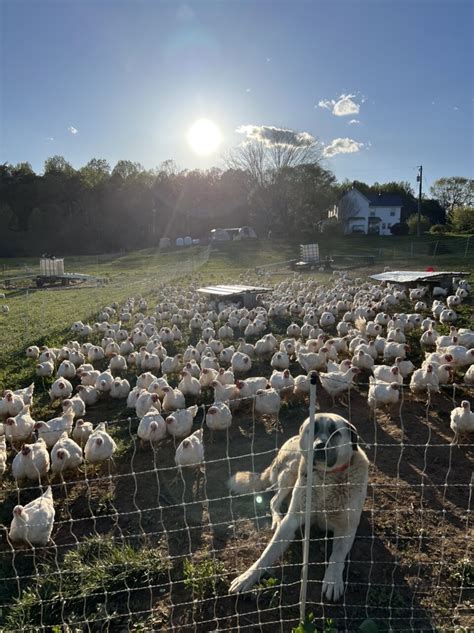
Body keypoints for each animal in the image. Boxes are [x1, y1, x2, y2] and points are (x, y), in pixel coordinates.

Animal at [228, 412, 368, 600]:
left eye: (335, 432)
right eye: (313, 429)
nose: (320, 446)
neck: (327, 479)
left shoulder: (347, 527)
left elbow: (337, 555)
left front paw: (332, 580)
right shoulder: (291, 521)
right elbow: (267, 553)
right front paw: (247, 577)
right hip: (291, 471)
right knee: (274, 500)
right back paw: (277, 518)